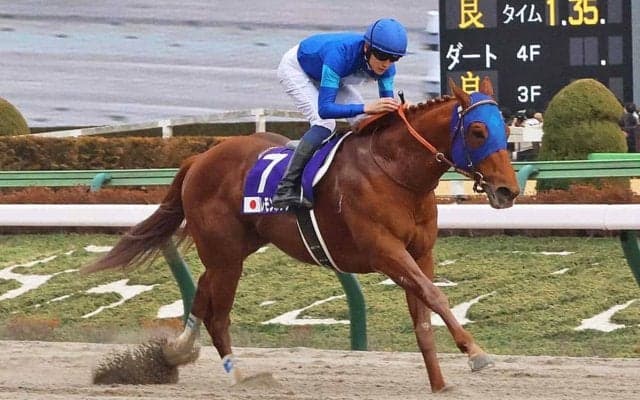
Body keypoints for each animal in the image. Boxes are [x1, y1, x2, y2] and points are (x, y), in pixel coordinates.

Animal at [83, 77, 519, 393]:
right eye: (478, 130)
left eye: (506, 127)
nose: (508, 191)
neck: (395, 172)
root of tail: (200, 157)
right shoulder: (384, 251)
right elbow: (435, 295)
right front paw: (476, 353)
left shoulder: (420, 252)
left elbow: (424, 316)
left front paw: (440, 383)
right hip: (225, 253)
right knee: (218, 314)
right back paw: (240, 377)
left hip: (235, 249)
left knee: (203, 293)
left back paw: (175, 353)